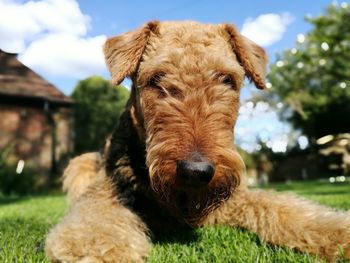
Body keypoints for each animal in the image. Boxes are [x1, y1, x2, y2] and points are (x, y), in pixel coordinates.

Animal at [45, 21, 348, 262]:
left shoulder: (237, 196)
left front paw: (340, 235)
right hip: (81, 163)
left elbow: (286, 210)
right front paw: (98, 252)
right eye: (156, 78)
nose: (196, 172)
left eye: (227, 79)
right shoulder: (106, 192)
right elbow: (97, 226)